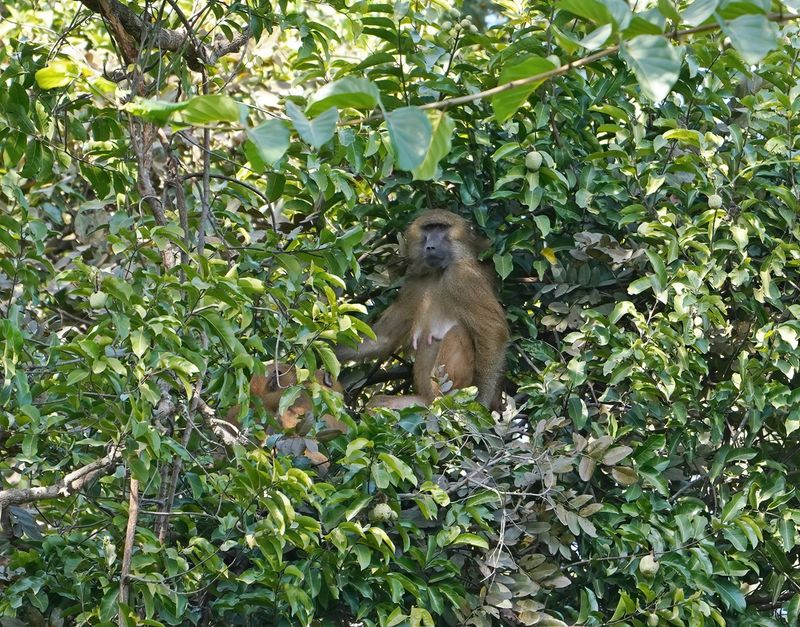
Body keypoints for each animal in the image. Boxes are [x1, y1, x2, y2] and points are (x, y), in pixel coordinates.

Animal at [337, 210, 508, 410]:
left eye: (441, 228)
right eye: (428, 228)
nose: (431, 246)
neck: (438, 273)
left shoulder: (463, 278)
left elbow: (493, 332)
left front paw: (482, 402)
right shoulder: (414, 284)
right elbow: (382, 340)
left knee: (457, 332)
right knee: (378, 404)